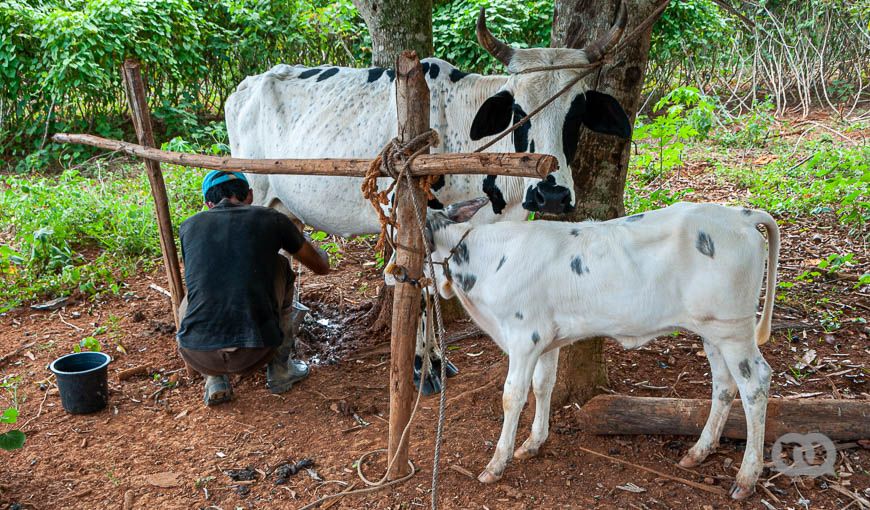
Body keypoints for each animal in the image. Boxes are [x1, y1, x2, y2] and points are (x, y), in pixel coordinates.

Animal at [430, 198, 784, 498]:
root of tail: (741, 214)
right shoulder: (546, 339)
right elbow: (543, 385)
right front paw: (533, 443)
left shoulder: (523, 336)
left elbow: (512, 396)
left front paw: (496, 464)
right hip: (712, 331)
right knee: (724, 384)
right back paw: (699, 451)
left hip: (734, 328)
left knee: (755, 384)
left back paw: (746, 477)